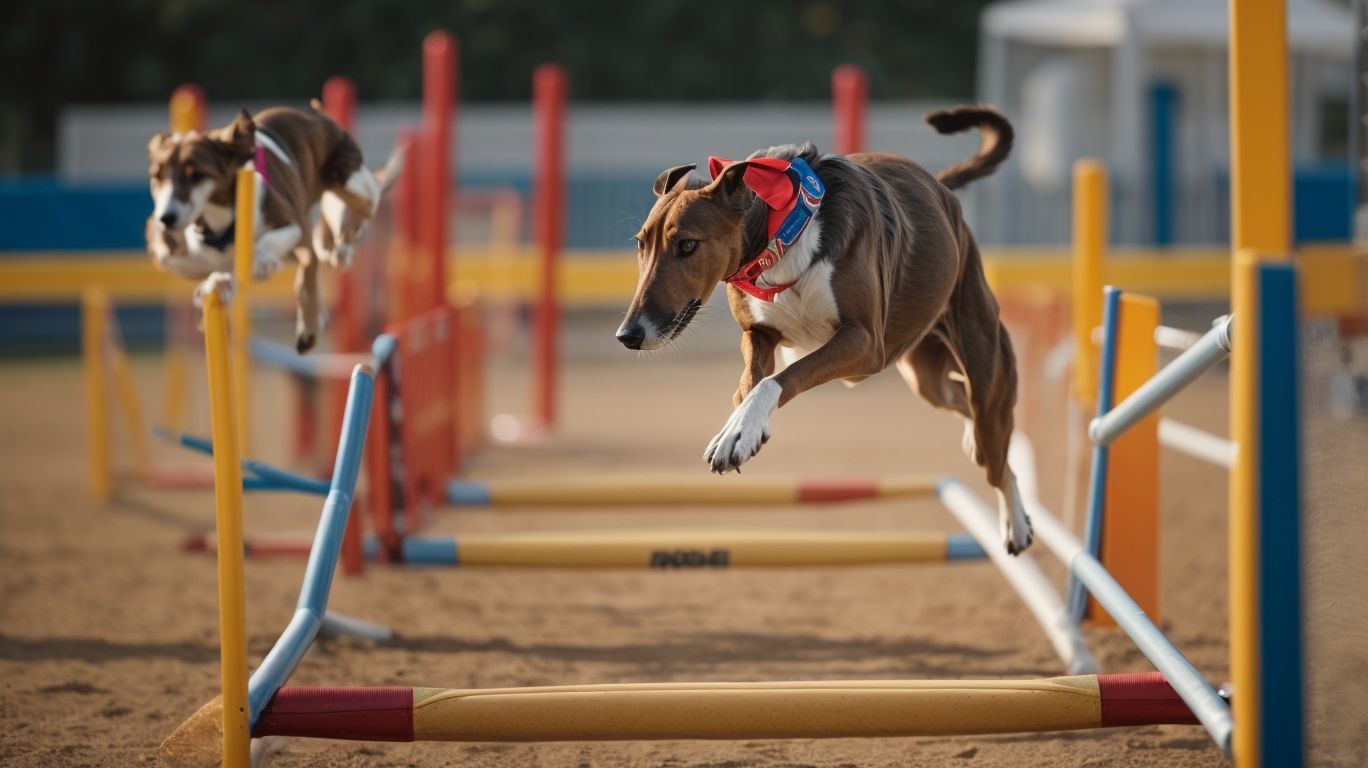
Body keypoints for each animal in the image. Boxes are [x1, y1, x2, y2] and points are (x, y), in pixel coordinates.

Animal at [147, 106, 399, 353]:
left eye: (196, 174)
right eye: (157, 176)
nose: (165, 218)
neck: (222, 223)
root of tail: (314, 113)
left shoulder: (291, 226)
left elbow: (268, 251)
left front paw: (263, 264)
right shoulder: (188, 255)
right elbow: (224, 271)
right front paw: (220, 283)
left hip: (354, 185)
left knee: (364, 199)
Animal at [615, 106, 1028, 550]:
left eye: (688, 245)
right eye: (641, 244)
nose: (628, 335)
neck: (782, 231)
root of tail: (942, 190)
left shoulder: (864, 342)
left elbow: (777, 380)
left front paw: (740, 429)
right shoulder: (760, 334)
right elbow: (750, 380)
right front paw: (739, 423)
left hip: (984, 372)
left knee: (997, 455)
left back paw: (1017, 522)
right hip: (927, 378)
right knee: (965, 413)